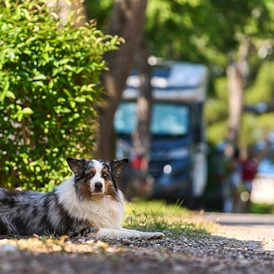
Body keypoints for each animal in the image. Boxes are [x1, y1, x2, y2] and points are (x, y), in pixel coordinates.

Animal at [0, 157, 164, 239]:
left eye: (105, 175)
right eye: (90, 175)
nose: (98, 185)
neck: (96, 201)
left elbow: (130, 229)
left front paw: (152, 234)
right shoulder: (81, 230)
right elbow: (117, 232)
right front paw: (133, 234)